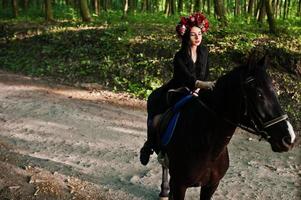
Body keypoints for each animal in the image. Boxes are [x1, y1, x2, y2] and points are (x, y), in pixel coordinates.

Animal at [155, 55, 296, 200]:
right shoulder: (180, 186)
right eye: (259, 94)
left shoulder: (211, 186)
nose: (289, 138)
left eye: (275, 92)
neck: (208, 148)